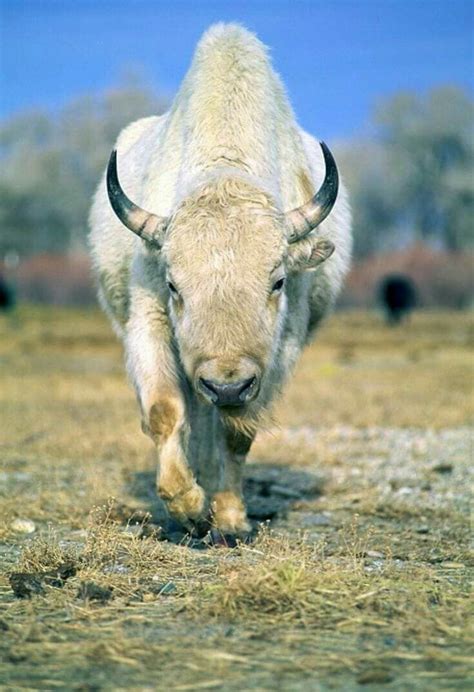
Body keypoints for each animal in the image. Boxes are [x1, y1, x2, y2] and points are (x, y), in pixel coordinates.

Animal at [88, 23, 352, 536]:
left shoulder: (275, 356)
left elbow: (236, 433)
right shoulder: (148, 323)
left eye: (277, 283)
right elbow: (164, 409)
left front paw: (229, 518)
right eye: (175, 286)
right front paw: (187, 506)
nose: (226, 385)